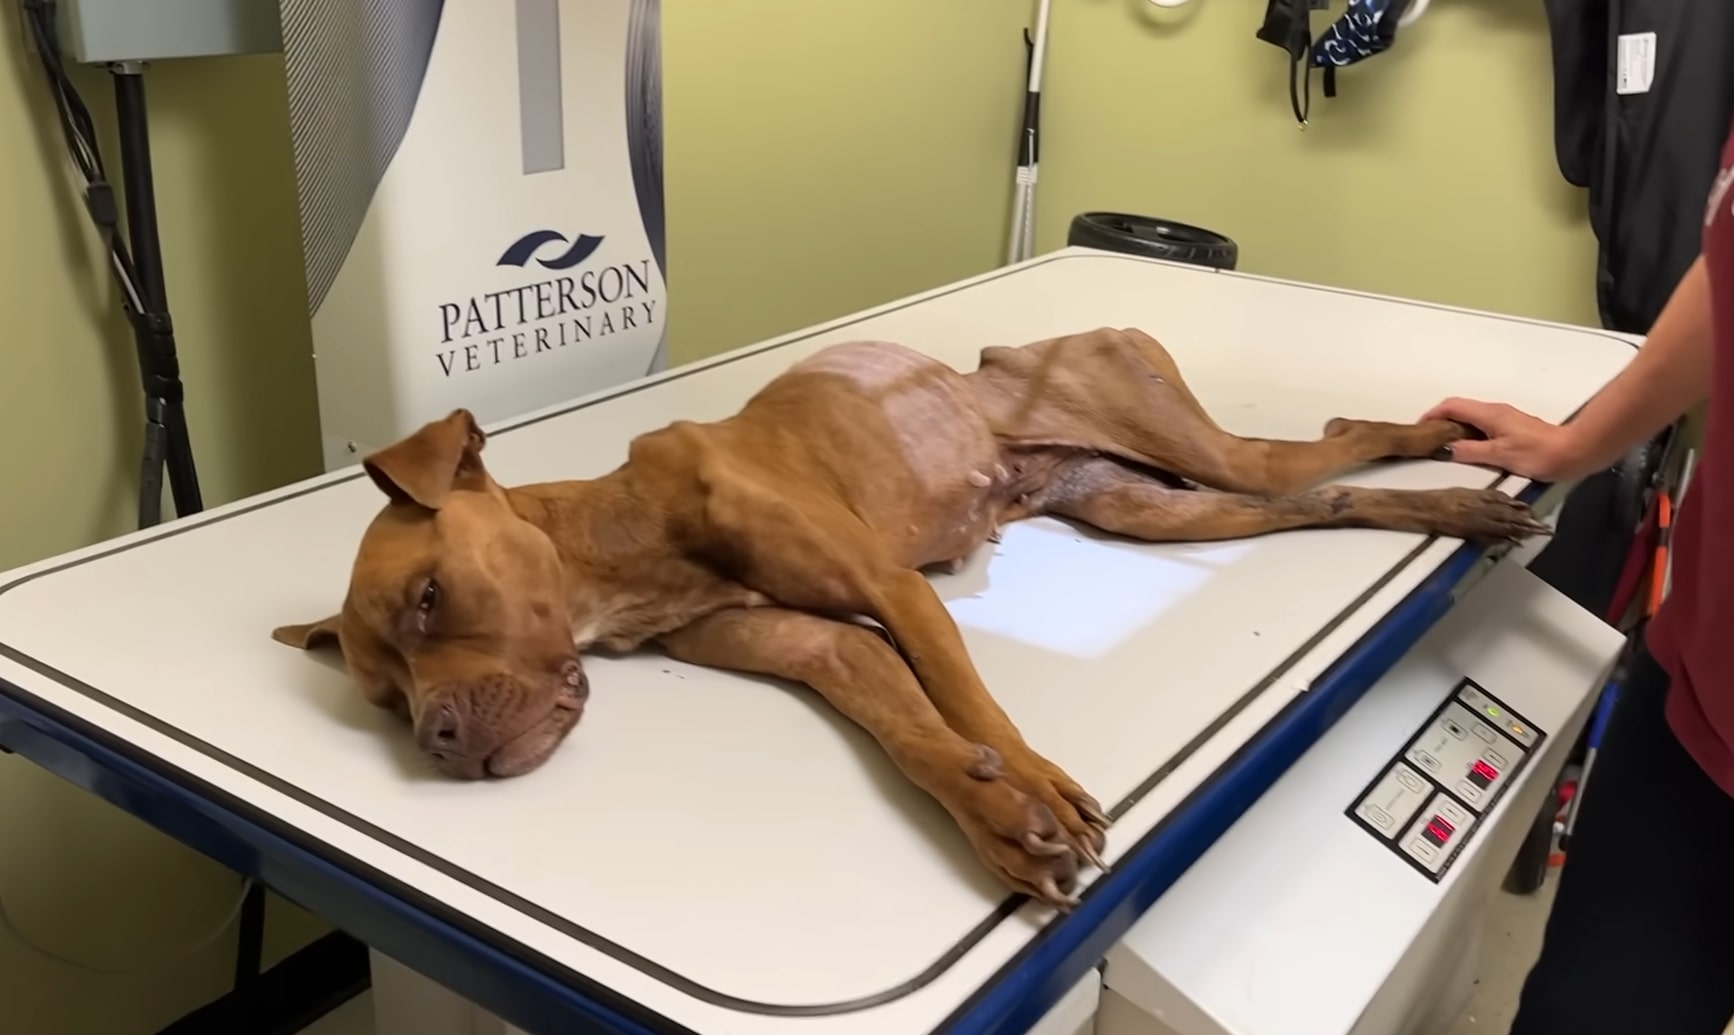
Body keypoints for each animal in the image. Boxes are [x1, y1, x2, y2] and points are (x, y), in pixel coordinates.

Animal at [277, 327, 1553, 908]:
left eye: (433, 598)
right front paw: (1003, 821)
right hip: (1163, 511)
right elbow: (918, 738)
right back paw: (1455, 507)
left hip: (1198, 447)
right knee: (1325, 496)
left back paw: (1449, 444)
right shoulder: (827, 648)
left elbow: (972, 704)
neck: (620, 541)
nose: (438, 741)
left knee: (1337, 444)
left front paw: (1037, 789)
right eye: (383, 700)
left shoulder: (890, 593)